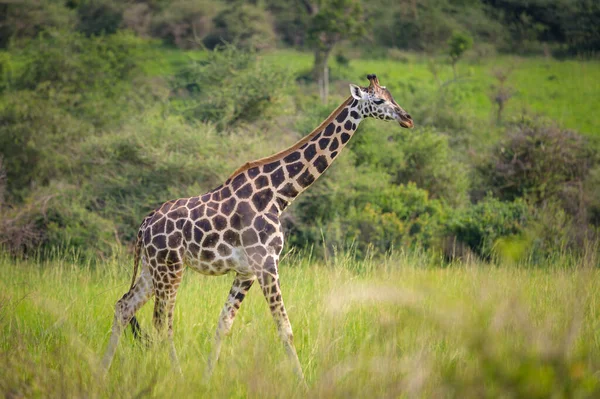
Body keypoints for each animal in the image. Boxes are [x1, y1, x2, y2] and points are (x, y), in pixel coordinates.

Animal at [102, 74, 412, 382]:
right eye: (379, 100)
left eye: (392, 95)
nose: (407, 118)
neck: (279, 194)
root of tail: (144, 224)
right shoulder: (266, 263)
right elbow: (285, 329)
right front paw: (302, 383)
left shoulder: (246, 271)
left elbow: (223, 324)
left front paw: (207, 379)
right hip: (170, 268)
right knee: (161, 322)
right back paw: (174, 375)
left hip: (150, 268)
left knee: (124, 306)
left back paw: (102, 372)